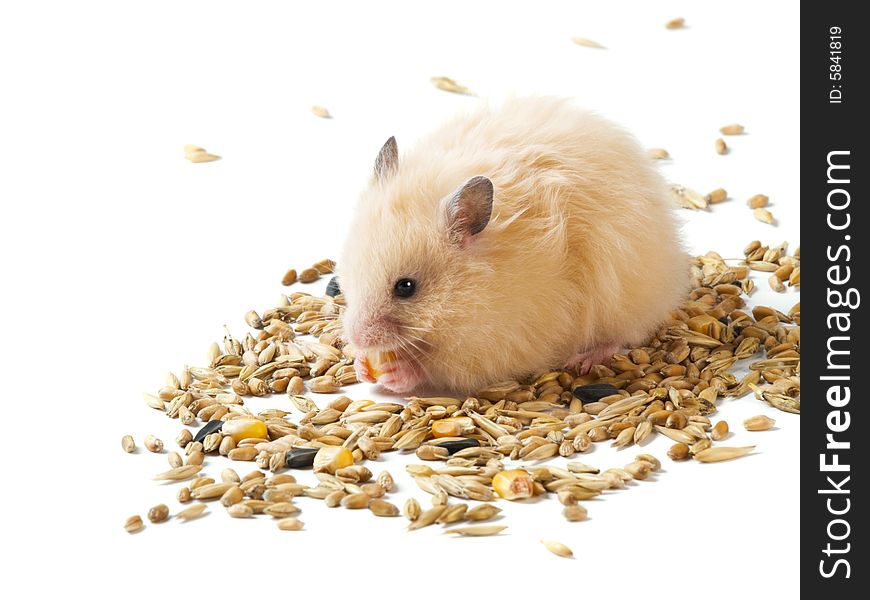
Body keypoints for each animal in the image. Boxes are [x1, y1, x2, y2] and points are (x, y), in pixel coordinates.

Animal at [338, 95, 688, 394]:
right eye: (351, 270)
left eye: (406, 287)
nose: (357, 337)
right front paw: (361, 366)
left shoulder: (504, 339)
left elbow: (440, 367)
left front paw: (397, 371)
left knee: (623, 334)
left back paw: (585, 361)